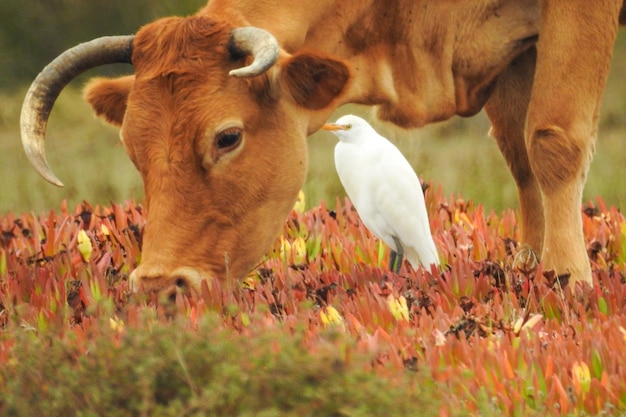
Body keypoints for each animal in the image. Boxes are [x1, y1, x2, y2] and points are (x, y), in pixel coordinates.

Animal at [19, 0, 624, 296]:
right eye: (131, 148)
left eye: (228, 136)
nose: (160, 285)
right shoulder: (515, 50)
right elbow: (519, 154)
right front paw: (527, 266)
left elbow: (552, 140)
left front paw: (567, 281)